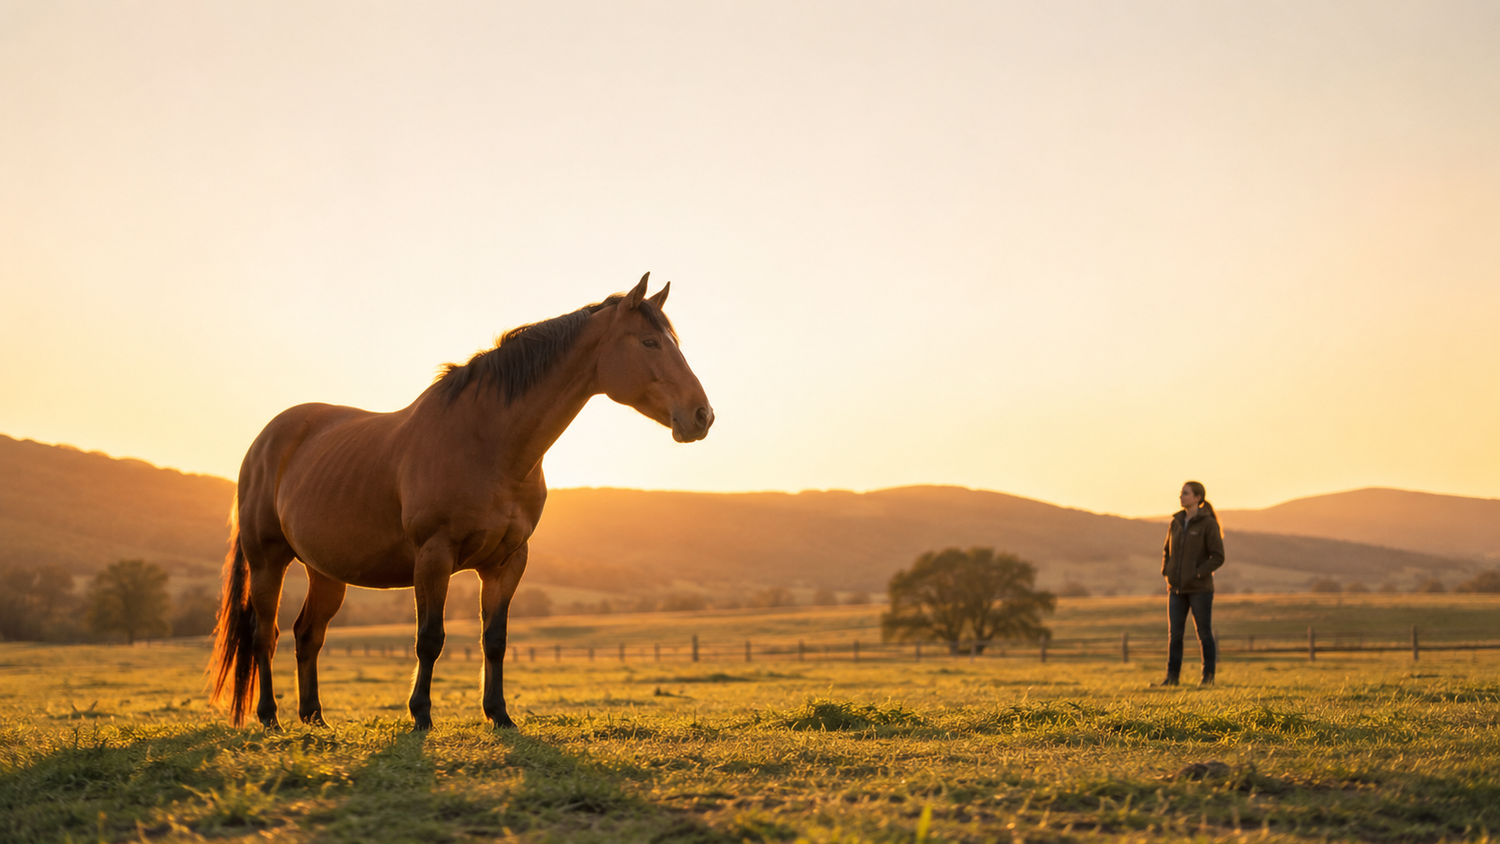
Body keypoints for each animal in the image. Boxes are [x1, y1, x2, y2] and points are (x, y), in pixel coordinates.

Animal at [209, 274, 712, 730]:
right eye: (649, 342)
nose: (702, 415)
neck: (488, 443)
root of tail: (266, 440)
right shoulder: (435, 555)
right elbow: (429, 638)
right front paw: (421, 715)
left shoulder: (508, 561)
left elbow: (495, 639)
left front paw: (499, 715)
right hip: (269, 561)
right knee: (264, 635)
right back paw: (269, 717)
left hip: (326, 572)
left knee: (307, 634)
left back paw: (314, 716)